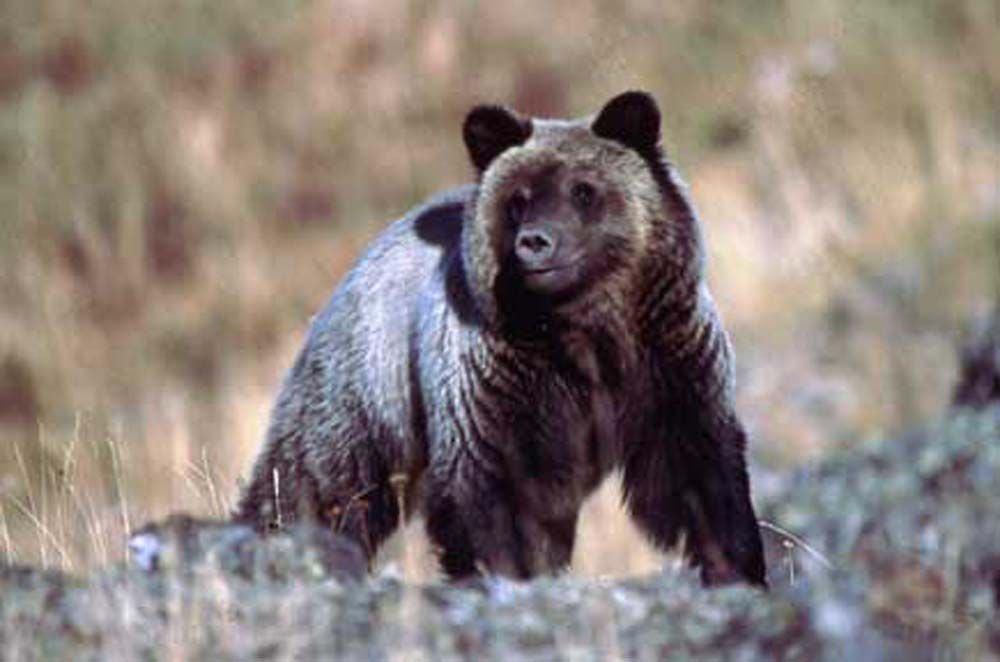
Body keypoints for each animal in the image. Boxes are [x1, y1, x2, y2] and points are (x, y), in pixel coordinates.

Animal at [234, 91, 767, 587]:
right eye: (518, 198)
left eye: (583, 190)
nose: (535, 242)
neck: (586, 331)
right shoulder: (500, 386)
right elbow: (495, 496)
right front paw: (506, 571)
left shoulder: (668, 361)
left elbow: (699, 471)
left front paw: (736, 566)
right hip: (368, 384)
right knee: (321, 481)